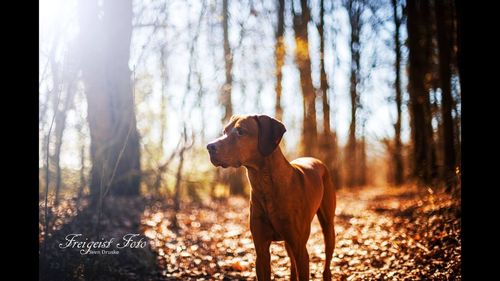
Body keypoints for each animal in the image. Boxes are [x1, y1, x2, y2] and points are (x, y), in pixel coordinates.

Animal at [207, 114, 336, 280]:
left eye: (241, 131)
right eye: (225, 131)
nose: (209, 147)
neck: (265, 185)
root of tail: (317, 160)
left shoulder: (301, 249)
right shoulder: (261, 250)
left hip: (327, 226)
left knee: (327, 260)